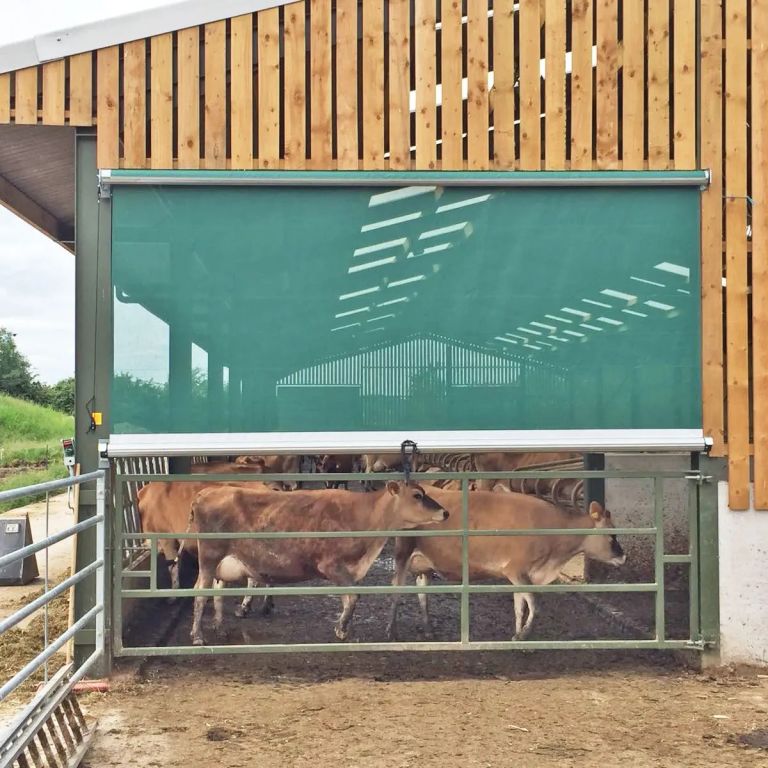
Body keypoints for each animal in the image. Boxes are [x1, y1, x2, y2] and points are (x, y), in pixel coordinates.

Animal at [188, 484, 448, 644]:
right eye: (417, 495)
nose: (445, 512)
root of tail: (206, 492)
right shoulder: (331, 566)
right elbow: (354, 596)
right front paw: (341, 627)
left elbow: (348, 599)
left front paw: (343, 629)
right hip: (209, 556)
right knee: (200, 593)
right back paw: (198, 636)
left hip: (220, 563)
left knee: (213, 590)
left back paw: (219, 628)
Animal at [388, 492, 628, 640]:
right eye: (612, 535)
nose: (623, 556)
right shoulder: (516, 570)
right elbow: (535, 604)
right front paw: (524, 635)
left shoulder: (522, 575)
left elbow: (519, 606)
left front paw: (516, 635)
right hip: (402, 553)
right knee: (395, 589)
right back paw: (392, 631)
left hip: (423, 565)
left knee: (422, 592)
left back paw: (429, 630)